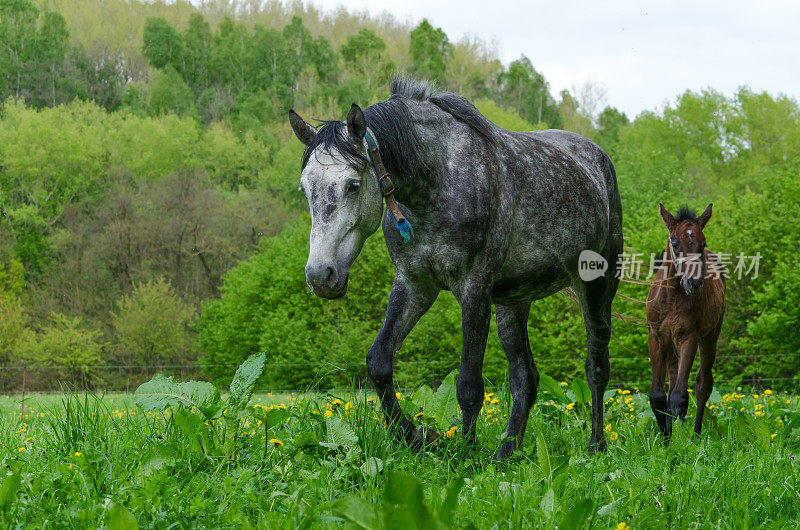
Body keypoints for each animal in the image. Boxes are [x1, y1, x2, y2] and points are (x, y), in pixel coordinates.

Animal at [290, 76, 624, 456]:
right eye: (305, 188)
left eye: (353, 185)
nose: (320, 276)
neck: (439, 179)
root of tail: (596, 159)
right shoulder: (415, 285)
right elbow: (378, 363)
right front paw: (415, 434)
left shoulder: (474, 289)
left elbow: (468, 386)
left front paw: (466, 454)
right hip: (513, 302)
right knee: (525, 377)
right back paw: (506, 452)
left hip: (597, 286)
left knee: (596, 366)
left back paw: (595, 445)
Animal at [644, 203, 724, 438]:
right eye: (674, 242)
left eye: (703, 242)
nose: (694, 283)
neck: (671, 298)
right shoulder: (656, 337)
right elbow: (658, 396)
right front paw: (666, 439)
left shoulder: (689, 336)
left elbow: (680, 396)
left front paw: (680, 441)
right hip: (671, 344)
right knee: (672, 383)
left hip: (710, 337)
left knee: (703, 383)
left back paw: (696, 434)